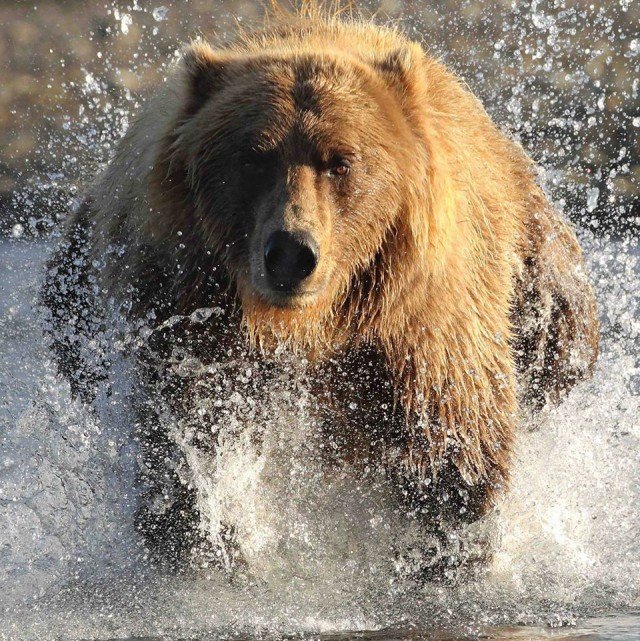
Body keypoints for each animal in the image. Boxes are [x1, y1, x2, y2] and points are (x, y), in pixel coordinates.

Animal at [41, 3, 600, 568]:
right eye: (253, 157)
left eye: (340, 161)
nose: (291, 252)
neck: (309, 328)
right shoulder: (185, 313)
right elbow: (191, 427)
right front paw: (202, 532)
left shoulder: (419, 328)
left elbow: (453, 444)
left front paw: (449, 547)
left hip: (537, 267)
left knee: (562, 336)